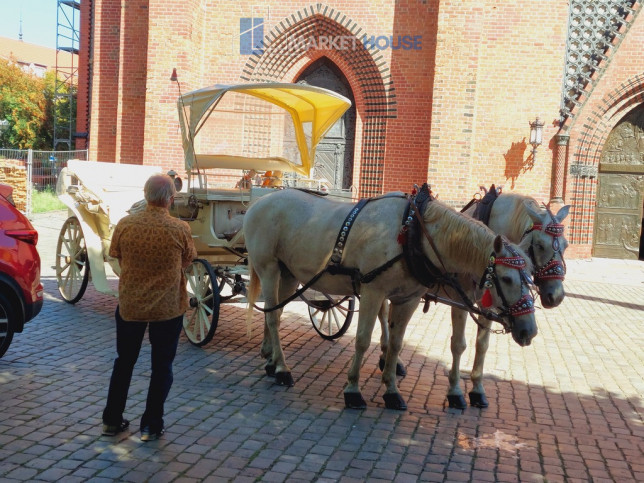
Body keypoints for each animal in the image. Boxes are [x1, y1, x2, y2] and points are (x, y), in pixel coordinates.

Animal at [244, 187, 536, 410]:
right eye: (507, 279)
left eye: (531, 277)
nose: (529, 331)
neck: (413, 233)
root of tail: (259, 202)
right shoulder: (373, 292)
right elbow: (362, 340)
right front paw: (353, 390)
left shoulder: (407, 299)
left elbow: (396, 344)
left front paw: (392, 391)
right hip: (268, 268)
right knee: (273, 316)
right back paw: (282, 370)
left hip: (290, 274)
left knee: (276, 312)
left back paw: (272, 361)